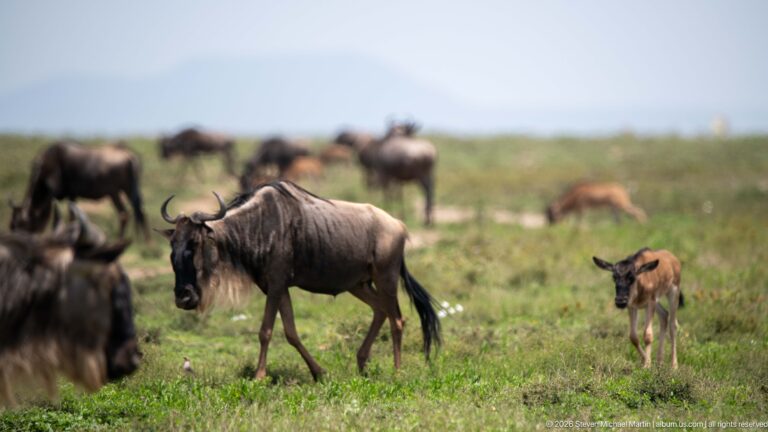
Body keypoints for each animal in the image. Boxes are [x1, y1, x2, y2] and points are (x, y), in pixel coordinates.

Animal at [9, 141, 150, 241]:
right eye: (11, 226)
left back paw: (122, 240)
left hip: (115, 192)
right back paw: (145, 241)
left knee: (124, 213)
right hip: (126, 191)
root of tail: (129, 156)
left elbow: (69, 216)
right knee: (140, 211)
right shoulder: (72, 195)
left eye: (19, 224)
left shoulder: (61, 193)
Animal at [158, 181, 441, 381]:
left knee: (397, 319)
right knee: (380, 311)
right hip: (358, 284)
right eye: (172, 247)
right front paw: (319, 372)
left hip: (386, 278)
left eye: (195, 243)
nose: (183, 297)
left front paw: (259, 376)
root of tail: (399, 226)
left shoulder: (275, 285)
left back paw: (397, 371)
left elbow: (265, 331)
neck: (257, 225)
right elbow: (291, 333)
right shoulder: (278, 287)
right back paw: (361, 363)